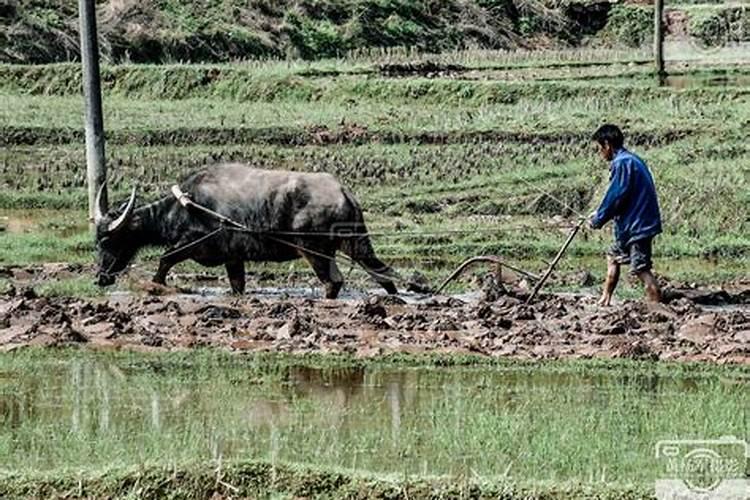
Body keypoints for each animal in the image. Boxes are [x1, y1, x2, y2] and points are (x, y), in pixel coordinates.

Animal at [94, 163, 400, 296]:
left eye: (107, 241)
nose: (100, 278)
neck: (188, 205)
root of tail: (343, 192)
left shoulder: (193, 245)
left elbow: (165, 258)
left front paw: (155, 286)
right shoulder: (234, 258)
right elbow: (237, 285)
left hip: (314, 251)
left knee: (334, 281)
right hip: (352, 244)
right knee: (380, 273)